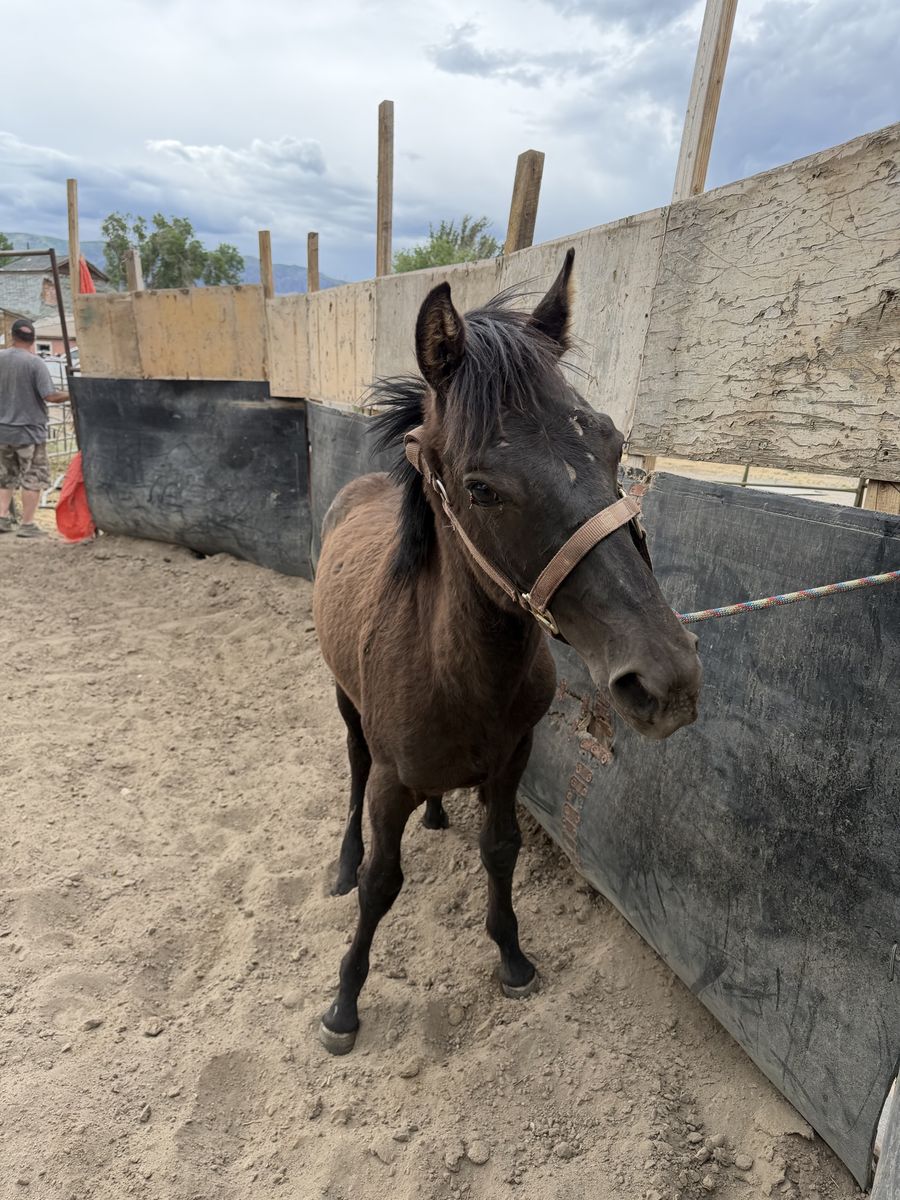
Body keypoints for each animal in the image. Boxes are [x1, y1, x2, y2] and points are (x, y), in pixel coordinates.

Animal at [312, 249, 702, 1054]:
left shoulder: (510, 761)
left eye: (613, 443)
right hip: (345, 704)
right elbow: (381, 883)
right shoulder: (391, 781)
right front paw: (344, 1004)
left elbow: (501, 851)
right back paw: (340, 863)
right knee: (353, 769)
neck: (457, 677)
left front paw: (513, 958)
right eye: (482, 488)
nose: (667, 679)